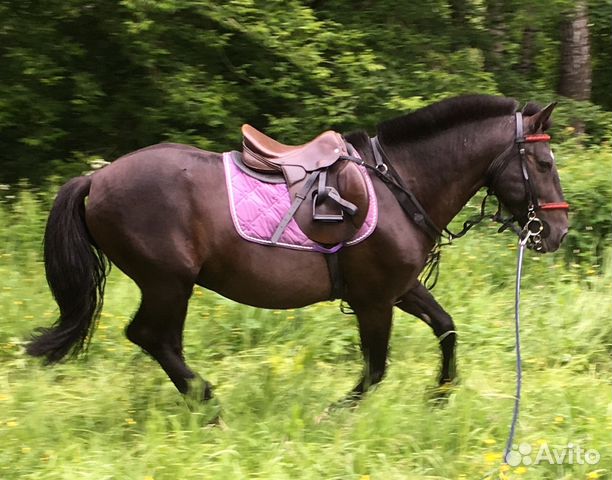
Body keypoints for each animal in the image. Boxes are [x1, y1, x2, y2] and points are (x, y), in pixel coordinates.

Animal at [23, 95, 568, 406]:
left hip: (167, 284)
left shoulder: (399, 288)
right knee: (154, 338)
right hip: (168, 282)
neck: (397, 183)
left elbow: (447, 328)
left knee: (156, 341)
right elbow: (375, 369)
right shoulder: (373, 300)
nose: (558, 231)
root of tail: (96, 178)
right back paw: (209, 403)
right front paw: (339, 412)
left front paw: (440, 395)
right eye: (543, 162)